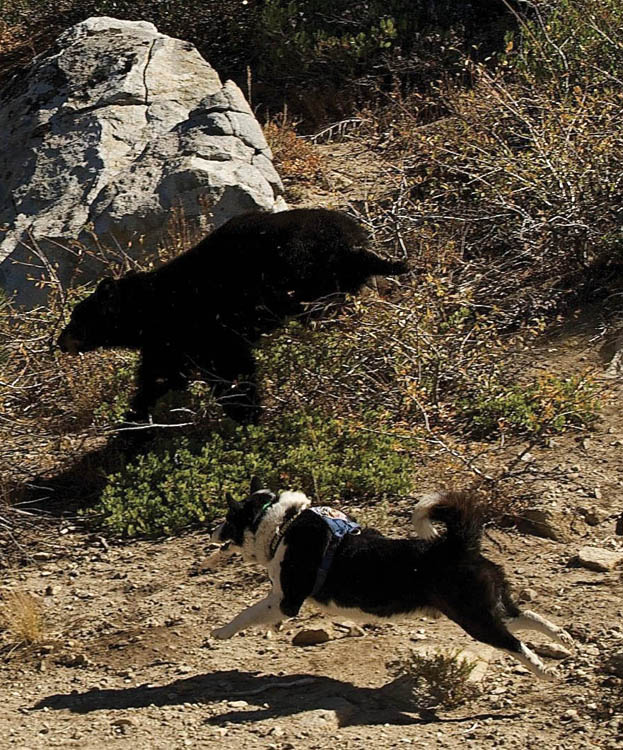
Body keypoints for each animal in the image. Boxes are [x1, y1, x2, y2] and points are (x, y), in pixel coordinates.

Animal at [57, 207, 410, 424]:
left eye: (76, 318)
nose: (60, 342)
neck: (151, 307)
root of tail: (353, 243)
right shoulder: (169, 343)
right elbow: (158, 379)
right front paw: (134, 420)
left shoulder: (199, 327)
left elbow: (229, 368)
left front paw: (247, 414)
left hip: (306, 274)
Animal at [211, 482, 576, 680]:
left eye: (228, 519)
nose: (212, 533)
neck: (282, 525)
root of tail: (457, 544)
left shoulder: (286, 601)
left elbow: (246, 613)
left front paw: (220, 632)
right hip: (487, 607)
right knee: (528, 617)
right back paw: (564, 638)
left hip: (474, 618)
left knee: (514, 643)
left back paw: (544, 670)